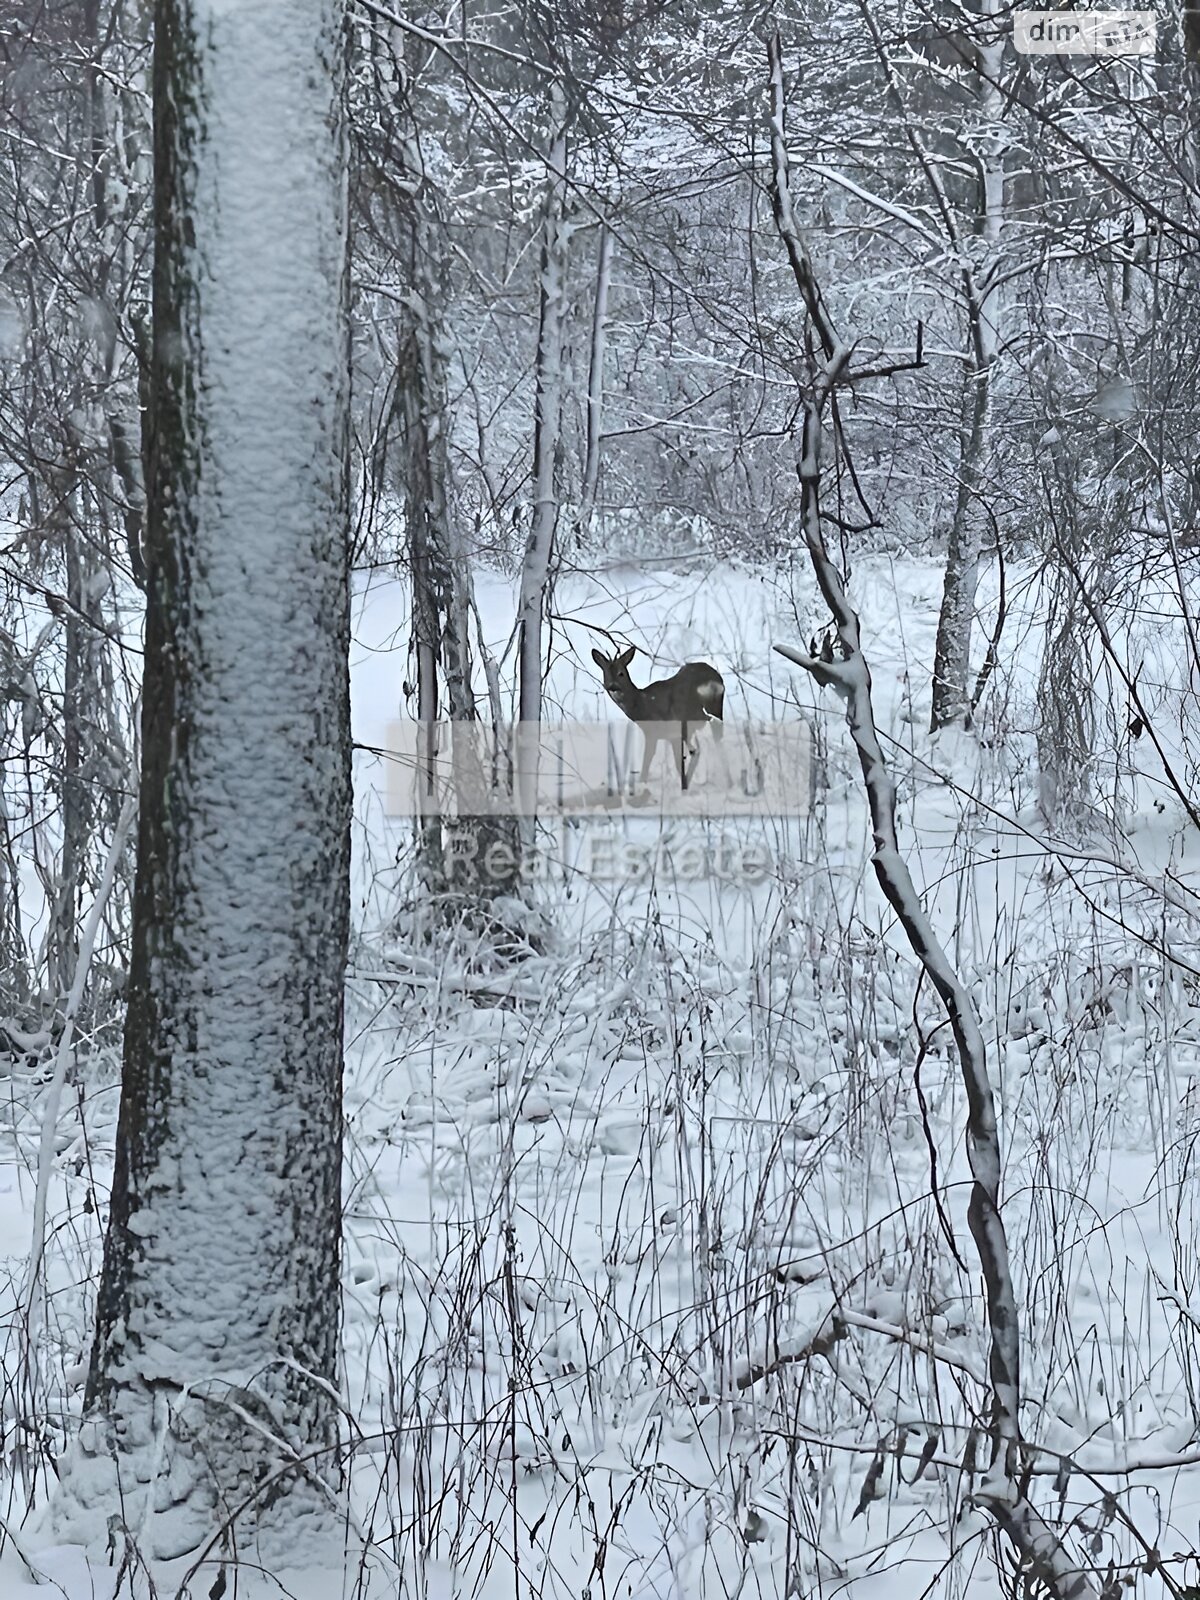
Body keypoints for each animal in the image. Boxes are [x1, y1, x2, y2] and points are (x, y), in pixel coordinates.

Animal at [588, 636, 723, 787]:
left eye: (621, 673)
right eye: (605, 673)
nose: (612, 686)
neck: (641, 704)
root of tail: (713, 679)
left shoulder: (655, 731)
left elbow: (648, 760)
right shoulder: (670, 735)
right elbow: (679, 762)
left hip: (690, 712)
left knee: (709, 733)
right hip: (713, 708)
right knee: (711, 738)